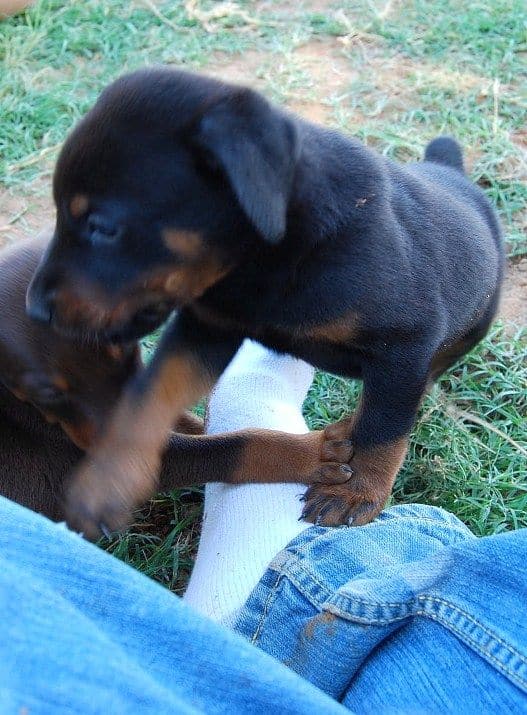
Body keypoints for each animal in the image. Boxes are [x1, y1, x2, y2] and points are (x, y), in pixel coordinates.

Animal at [26, 68, 506, 536]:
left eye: (102, 227)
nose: (35, 308)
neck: (266, 258)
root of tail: (453, 173)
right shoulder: (210, 325)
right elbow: (151, 392)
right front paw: (107, 480)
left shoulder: (404, 343)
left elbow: (385, 427)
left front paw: (358, 493)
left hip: (468, 325)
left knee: (417, 386)